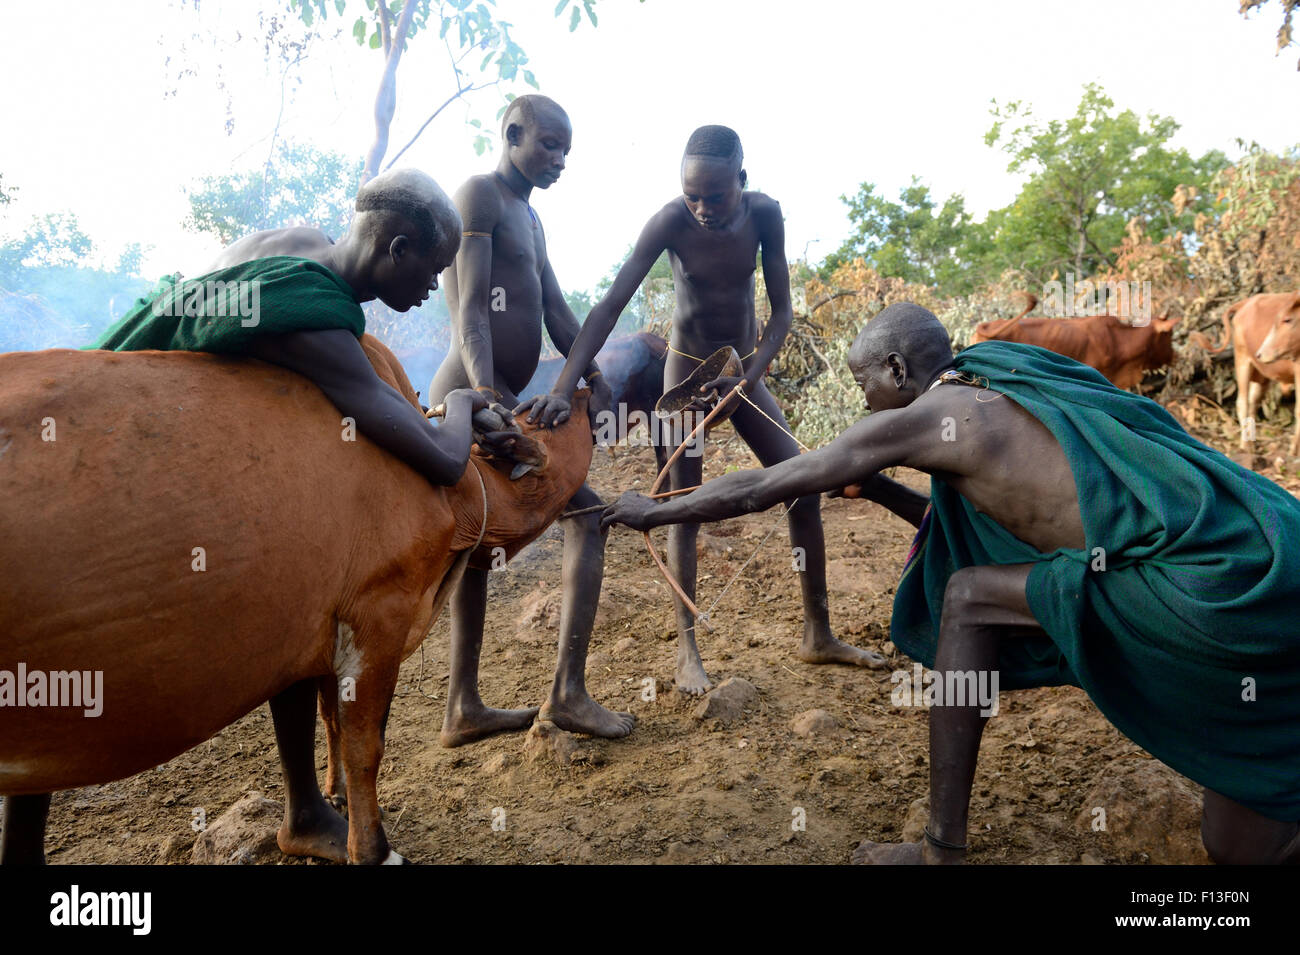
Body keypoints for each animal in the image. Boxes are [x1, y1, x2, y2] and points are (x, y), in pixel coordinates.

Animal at [0, 335, 590, 867]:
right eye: (538, 418)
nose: (584, 390)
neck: (456, 494)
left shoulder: (318, 626)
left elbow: (326, 723)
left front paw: (334, 803)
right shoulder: (379, 615)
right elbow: (364, 744)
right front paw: (371, 849)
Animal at [1190, 291, 1300, 454]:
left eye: (1287, 320)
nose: (1260, 353)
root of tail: (1247, 302)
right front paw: (1294, 452)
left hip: (1261, 376)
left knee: (1253, 402)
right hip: (1242, 360)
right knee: (1242, 403)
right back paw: (1245, 446)